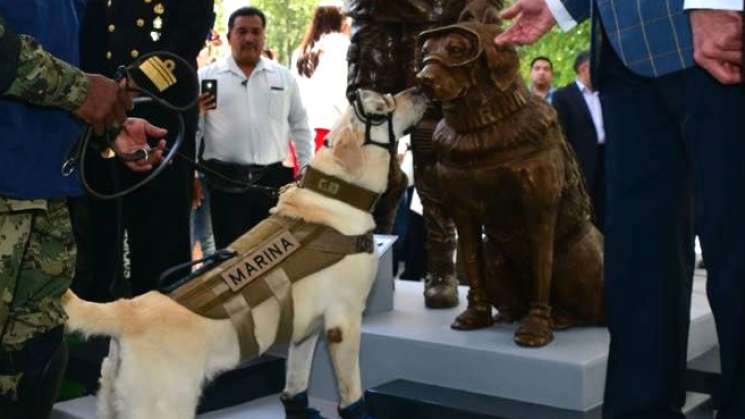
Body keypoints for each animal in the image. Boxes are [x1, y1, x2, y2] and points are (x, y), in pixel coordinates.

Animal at [61, 88, 428, 419]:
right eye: (380, 108)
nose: (421, 90)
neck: (337, 193)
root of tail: (128, 310)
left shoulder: (305, 330)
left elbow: (295, 384)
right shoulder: (344, 322)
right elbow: (352, 396)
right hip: (164, 408)